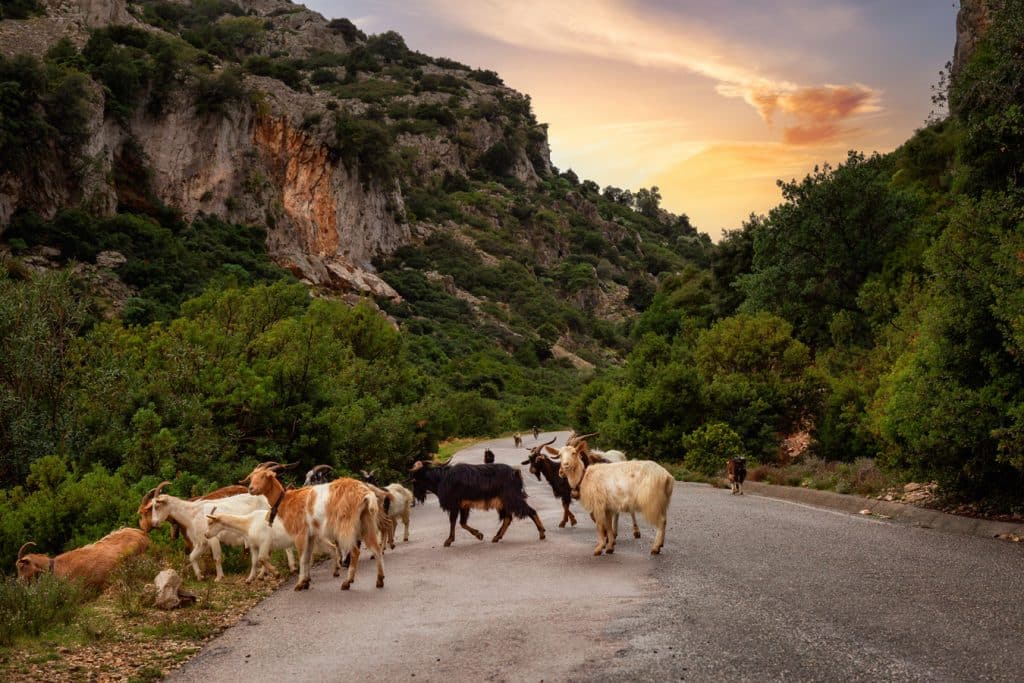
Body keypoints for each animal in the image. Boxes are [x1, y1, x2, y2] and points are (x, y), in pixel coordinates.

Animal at [242, 464, 385, 593]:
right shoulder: (310, 535)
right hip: (366, 522)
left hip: (346, 527)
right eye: (252, 477)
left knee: (355, 551)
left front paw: (299, 583)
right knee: (376, 548)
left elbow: (302, 558)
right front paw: (306, 581)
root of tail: (365, 493)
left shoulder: (300, 534)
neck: (286, 500)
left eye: (264, 476)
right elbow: (308, 557)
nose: (251, 488)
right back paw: (380, 580)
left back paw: (347, 582)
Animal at [411, 462, 548, 548]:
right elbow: (462, 523)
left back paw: (541, 533)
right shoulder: (464, 505)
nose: (415, 497)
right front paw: (479, 535)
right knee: (508, 518)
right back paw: (497, 537)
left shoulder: (455, 504)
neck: (441, 478)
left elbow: (453, 522)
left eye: (415, 481)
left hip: (512, 498)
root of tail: (515, 472)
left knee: (530, 511)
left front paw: (448, 541)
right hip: (504, 501)